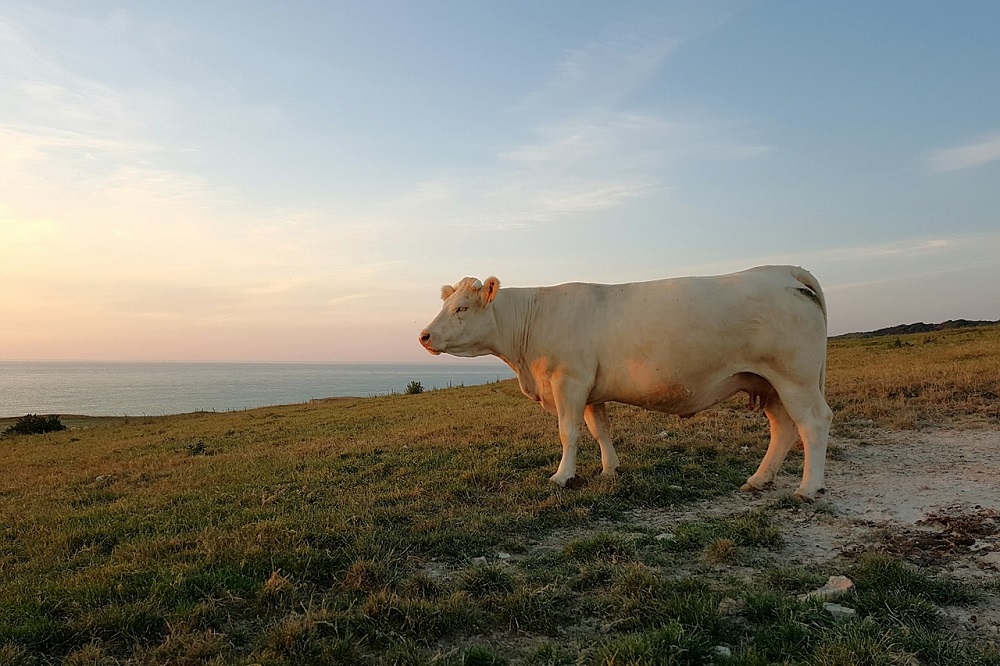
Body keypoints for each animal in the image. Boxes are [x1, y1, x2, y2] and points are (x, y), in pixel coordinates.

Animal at [418, 264, 832, 498]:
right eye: (445, 304)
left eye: (461, 308)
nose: (424, 335)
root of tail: (782, 269)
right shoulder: (591, 389)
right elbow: (600, 429)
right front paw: (610, 469)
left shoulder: (569, 380)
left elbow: (569, 432)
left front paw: (562, 476)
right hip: (771, 383)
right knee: (783, 427)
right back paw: (758, 480)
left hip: (795, 378)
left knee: (813, 423)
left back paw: (808, 489)